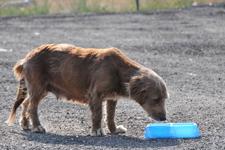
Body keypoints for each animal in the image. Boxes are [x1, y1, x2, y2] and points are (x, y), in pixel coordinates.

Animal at [5, 43, 169, 136]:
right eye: (155, 99)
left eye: (164, 99)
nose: (164, 118)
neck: (119, 69)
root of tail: (27, 58)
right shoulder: (95, 95)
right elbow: (98, 115)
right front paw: (97, 131)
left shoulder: (112, 97)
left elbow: (110, 116)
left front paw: (114, 130)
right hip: (38, 88)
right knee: (32, 107)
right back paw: (37, 126)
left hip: (41, 89)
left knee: (26, 104)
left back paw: (25, 124)